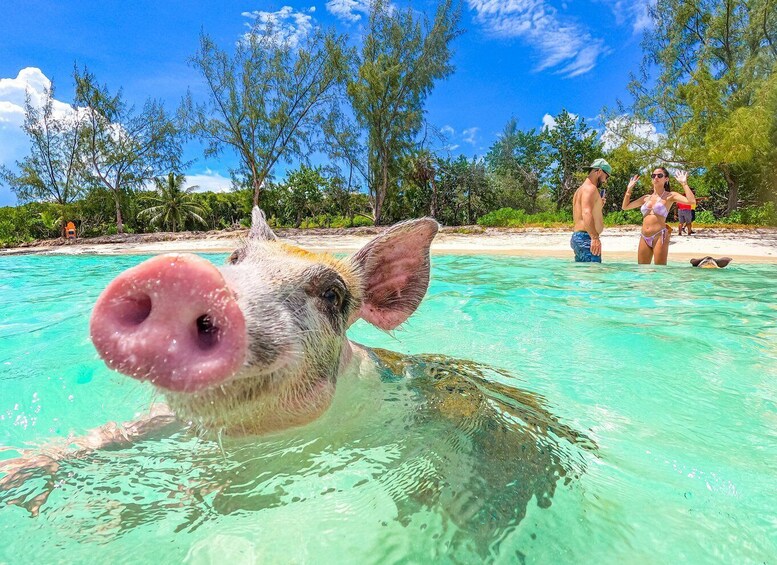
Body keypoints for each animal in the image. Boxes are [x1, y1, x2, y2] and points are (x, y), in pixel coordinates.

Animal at [1, 209, 593, 554]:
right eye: (233, 257)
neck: (249, 437)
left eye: (332, 294)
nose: (183, 276)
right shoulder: (170, 421)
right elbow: (106, 439)